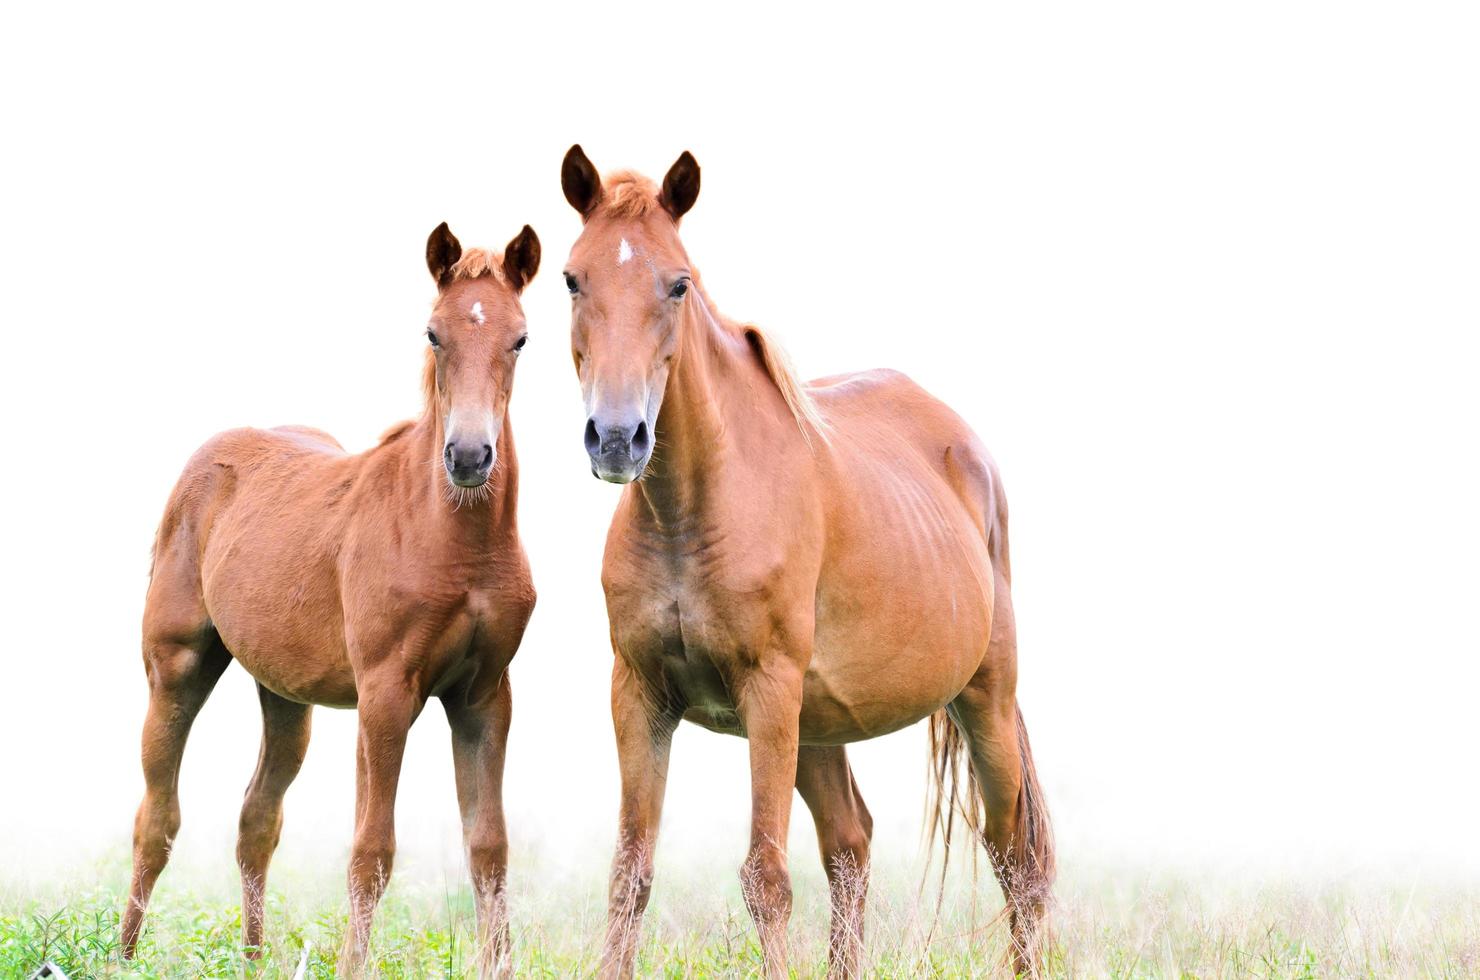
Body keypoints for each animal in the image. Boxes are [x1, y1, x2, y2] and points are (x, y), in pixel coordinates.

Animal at [119, 219, 538, 977]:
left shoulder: (485, 694)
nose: (468, 457)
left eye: (520, 337)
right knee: (156, 818)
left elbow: (489, 848)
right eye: (433, 333)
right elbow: (372, 850)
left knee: (257, 819)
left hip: (285, 694)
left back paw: (254, 960)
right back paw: (123, 956)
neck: (456, 539)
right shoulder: (386, 693)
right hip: (176, 667)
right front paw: (353, 965)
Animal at [559, 148, 1059, 980]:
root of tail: (967, 446)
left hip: (981, 699)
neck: (693, 509)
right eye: (572, 278)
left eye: (679, 283)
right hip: (818, 725)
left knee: (1015, 857)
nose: (619, 438)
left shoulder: (768, 691)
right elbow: (629, 874)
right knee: (851, 848)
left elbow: (765, 879)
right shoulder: (640, 695)